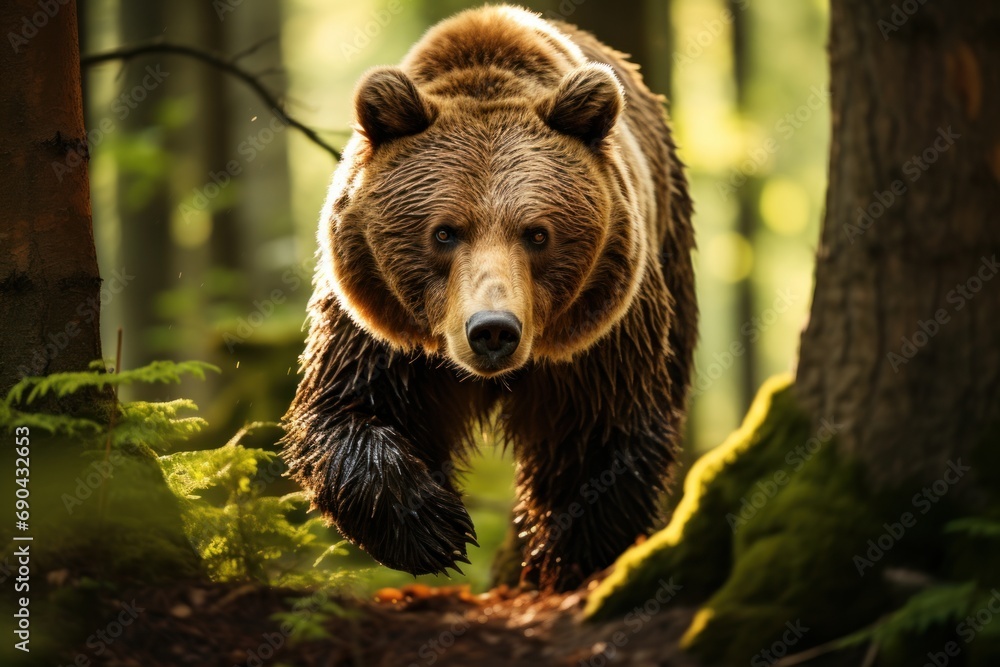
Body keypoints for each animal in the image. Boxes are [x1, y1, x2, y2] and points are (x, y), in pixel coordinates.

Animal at [282, 4, 696, 592]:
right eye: (444, 232)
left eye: (538, 233)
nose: (493, 329)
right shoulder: (374, 317)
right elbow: (348, 407)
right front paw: (435, 527)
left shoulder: (601, 331)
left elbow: (601, 434)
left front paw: (562, 556)